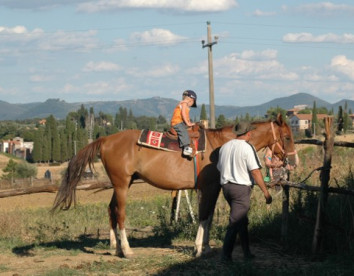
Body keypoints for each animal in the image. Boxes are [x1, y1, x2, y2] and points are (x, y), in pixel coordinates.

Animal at [52, 113, 296, 258]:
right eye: (286, 137)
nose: (293, 162)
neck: (221, 144)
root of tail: (105, 140)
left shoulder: (213, 188)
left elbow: (208, 216)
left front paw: (206, 246)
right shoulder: (208, 187)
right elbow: (204, 215)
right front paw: (198, 248)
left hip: (122, 184)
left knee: (111, 209)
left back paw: (115, 248)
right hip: (121, 184)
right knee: (119, 213)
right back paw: (127, 250)